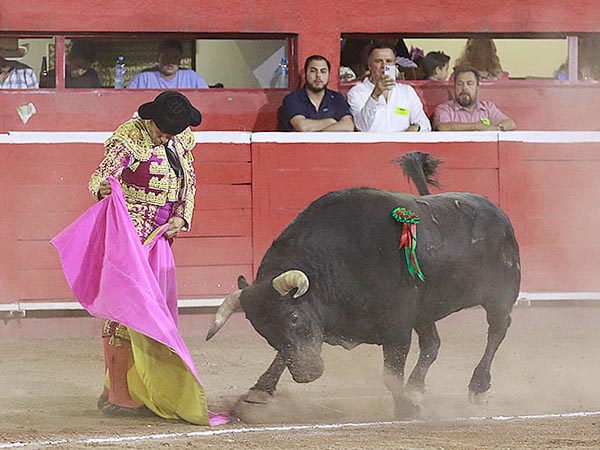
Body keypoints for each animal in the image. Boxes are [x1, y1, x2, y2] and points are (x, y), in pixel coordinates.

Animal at [207, 152, 520, 418]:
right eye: (263, 330)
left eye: (293, 316)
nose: (307, 374)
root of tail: (497, 211)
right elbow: (285, 353)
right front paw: (258, 393)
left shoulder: (397, 329)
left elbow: (389, 375)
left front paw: (406, 409)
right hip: (425, 311)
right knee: (433, 344)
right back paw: (416, 388)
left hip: (500, 297)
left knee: (497, 330)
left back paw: (477, 386)